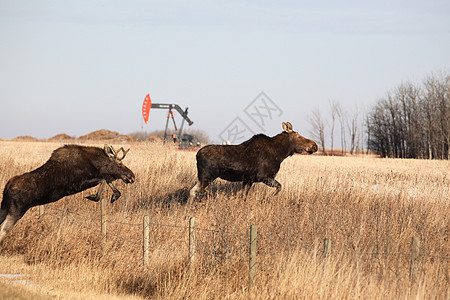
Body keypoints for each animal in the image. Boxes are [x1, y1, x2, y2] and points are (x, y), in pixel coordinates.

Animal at [0, 144, 134, 243]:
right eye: (119, 164)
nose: (132, 176)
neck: (95, 164)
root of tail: (6, 188)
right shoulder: (79, 184)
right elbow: (104, 180)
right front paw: (94, 196)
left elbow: (108, 180)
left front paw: (115, 195)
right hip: (16, 211)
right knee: (3, 231)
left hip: (4, 208)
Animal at [188, 122, 318, 204]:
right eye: (299, 137)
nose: (314, 146)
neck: (281, 154)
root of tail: (196, 155)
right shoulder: (263, 176)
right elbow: (279, 187)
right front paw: (266, 200)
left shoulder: (248, 180)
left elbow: (243, 197)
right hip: (206, 176)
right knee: (192, 191)